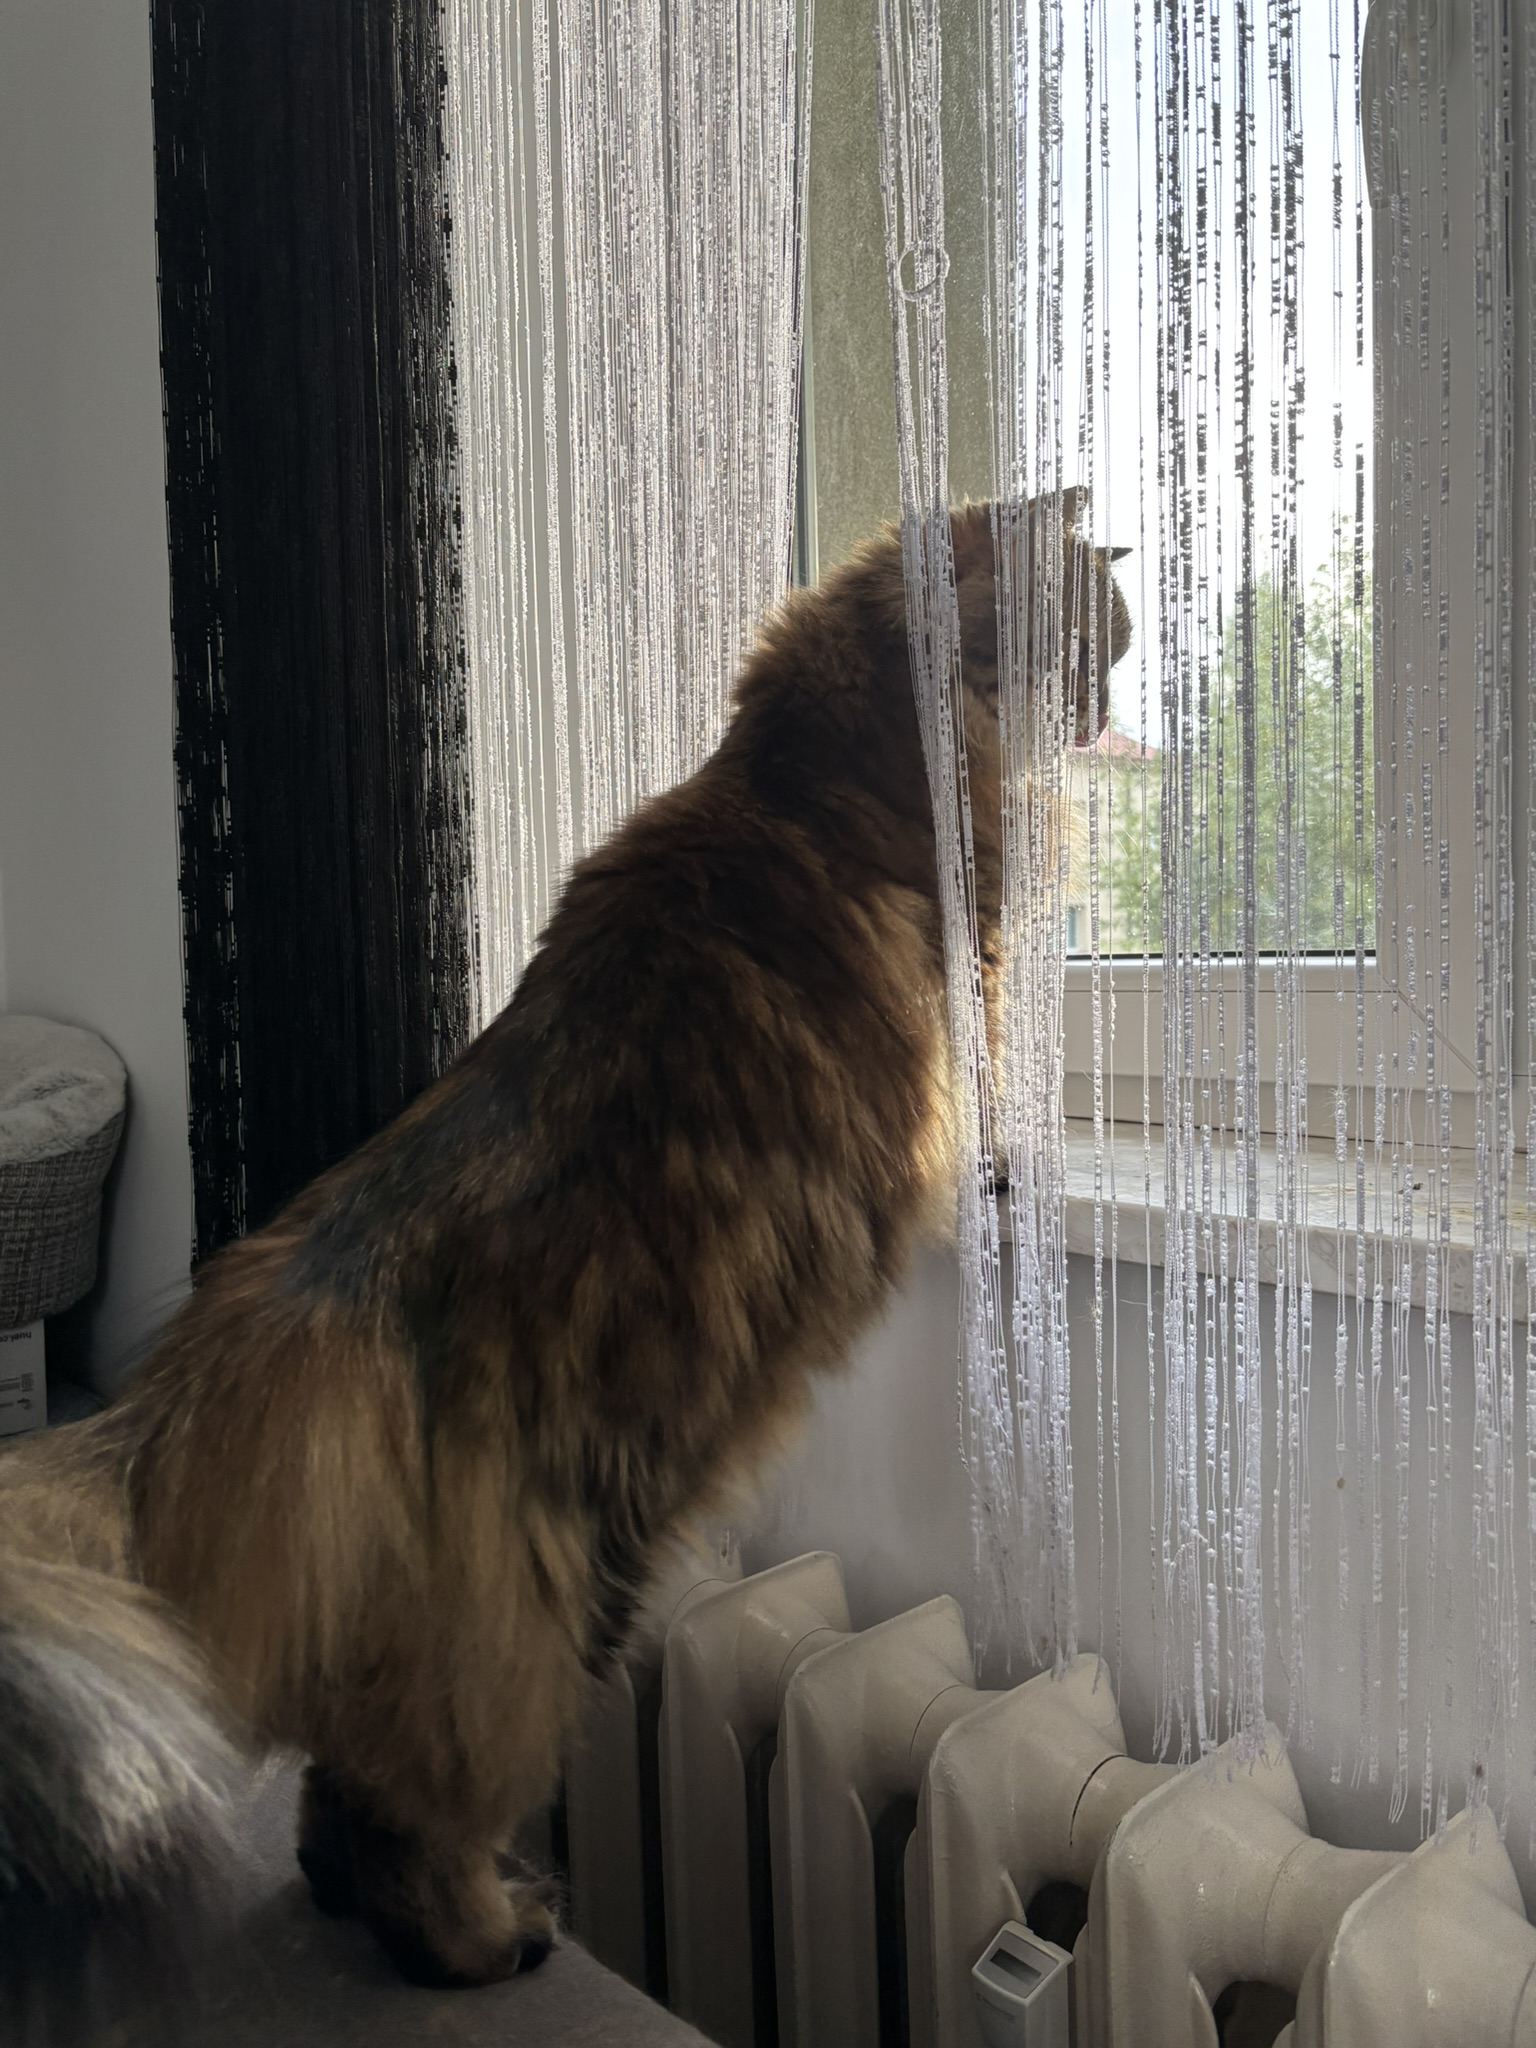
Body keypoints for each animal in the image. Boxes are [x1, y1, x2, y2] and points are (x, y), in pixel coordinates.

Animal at [0, 493, 1130, 1994]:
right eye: (1091, 638)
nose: (1108, 703)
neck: (801, 761)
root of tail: (282, 1323)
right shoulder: (979, 977)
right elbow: (997, 1099)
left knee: (340, 1791)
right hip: (549, 1604)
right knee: (417, 1810)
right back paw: (487, 1940)